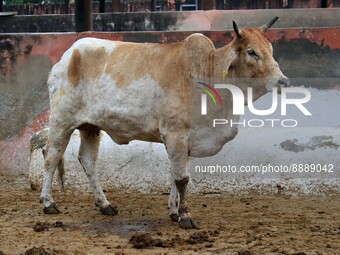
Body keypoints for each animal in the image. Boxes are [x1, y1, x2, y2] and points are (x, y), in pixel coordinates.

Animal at [40, 17, 290, 229]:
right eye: (251, 52)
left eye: (270, 50)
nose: (283, 81)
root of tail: (68, 55)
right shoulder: (176, 134)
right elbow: (182, 179)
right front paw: (186, 216)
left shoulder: (185, 140)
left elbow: (174, 176)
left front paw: (174, 211)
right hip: (62, 120)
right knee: (51, 155)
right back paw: (48, 203)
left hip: (90, 127)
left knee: (88, 161)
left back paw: (105, 205)